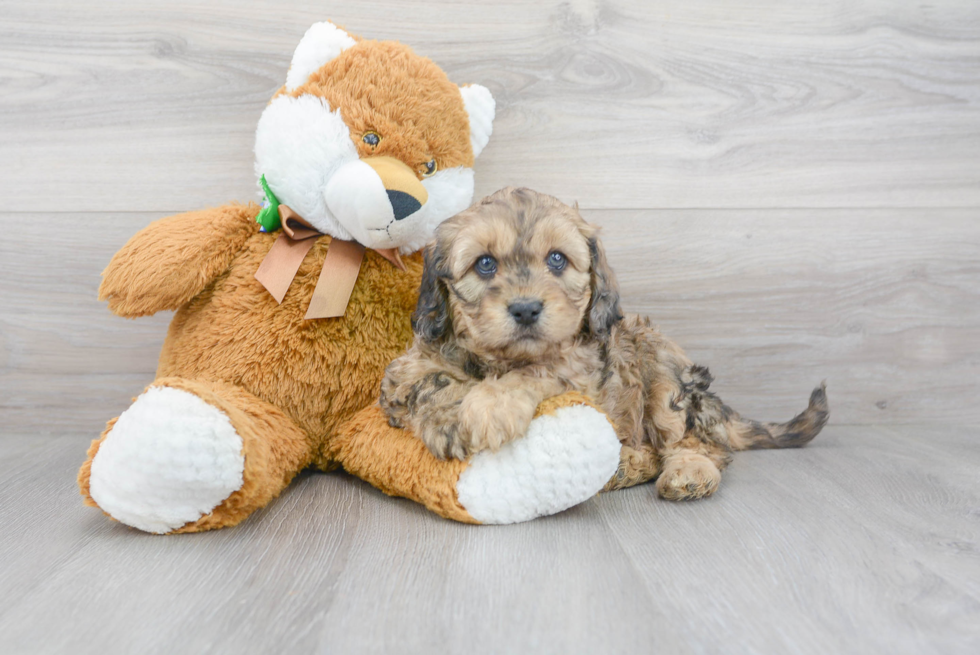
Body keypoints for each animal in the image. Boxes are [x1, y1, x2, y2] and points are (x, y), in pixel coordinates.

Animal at [380, 187, 828, 500]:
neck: (499, 360)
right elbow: (427, 382)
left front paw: (491, 405)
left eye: (557, 259)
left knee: (695, 442)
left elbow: (539, 370)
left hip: (662, 372)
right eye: (485, 264)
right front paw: (448, 417)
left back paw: (686, 471)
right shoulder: (403, 372)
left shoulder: (579, 371)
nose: (525, 309)